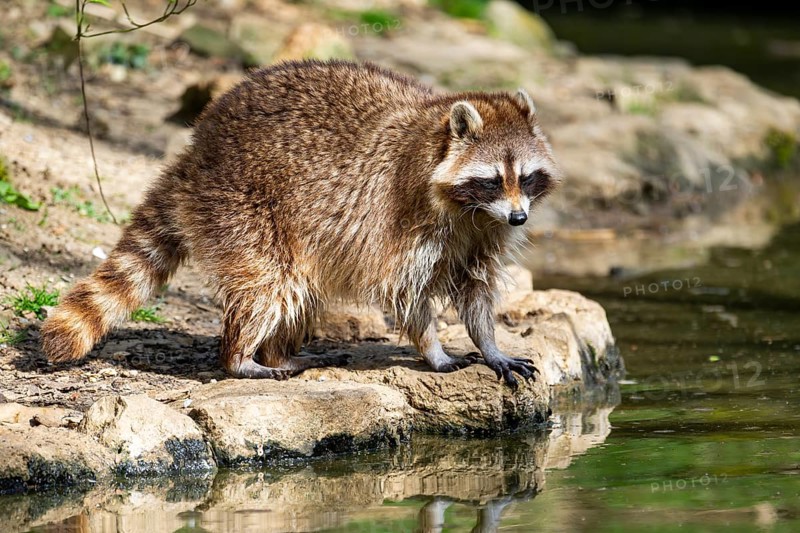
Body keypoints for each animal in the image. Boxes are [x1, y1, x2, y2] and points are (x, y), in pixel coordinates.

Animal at [41, 60, 560, 388]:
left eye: (525, 177)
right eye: (491, 180)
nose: (520, 216)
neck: (470, 209)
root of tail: (194, 151)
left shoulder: (484, 232)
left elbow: (476, 289)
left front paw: (489, 344)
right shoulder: (403, 218)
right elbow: (404, 292)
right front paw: (433, 350)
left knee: (300, 290)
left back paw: (278, 351)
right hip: (243, 205)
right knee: (269, 286)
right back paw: (241, 358)